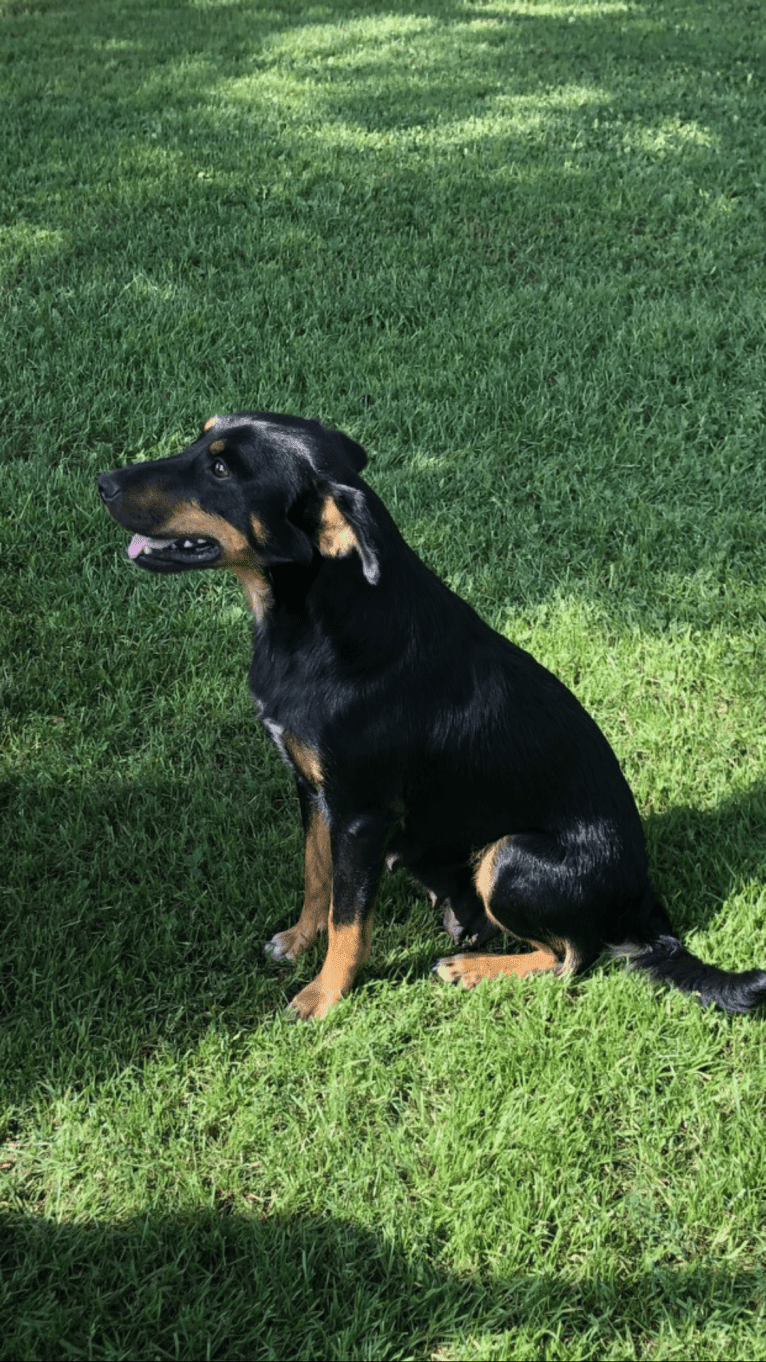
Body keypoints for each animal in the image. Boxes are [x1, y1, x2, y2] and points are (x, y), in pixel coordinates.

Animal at [98, 414, 763, 1024]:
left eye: (220, 469)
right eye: (200, 437)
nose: (103, 482)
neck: (317, 625)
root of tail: (646, 906)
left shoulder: (361, 815)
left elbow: (349, 918)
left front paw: (323, 997)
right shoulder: (313, 791)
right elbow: (317, 877)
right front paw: (298, 940)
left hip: (511, 857)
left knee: (574, 957)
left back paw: (472, 967)